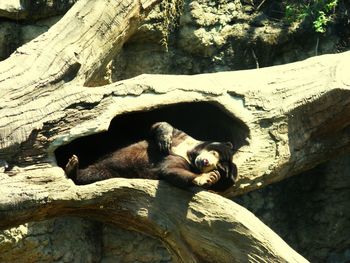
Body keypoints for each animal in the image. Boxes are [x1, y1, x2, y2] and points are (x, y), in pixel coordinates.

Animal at [64, 121, 237, 192]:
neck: (188, 154)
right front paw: (164, 140)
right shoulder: (182, 138)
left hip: (111, 172)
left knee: (92, 175)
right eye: (215, 153)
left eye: (219, 167)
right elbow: (158, 126)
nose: (206, 162)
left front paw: (209, 178)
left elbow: (172, 170)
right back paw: (73, 164)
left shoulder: (183, 162)